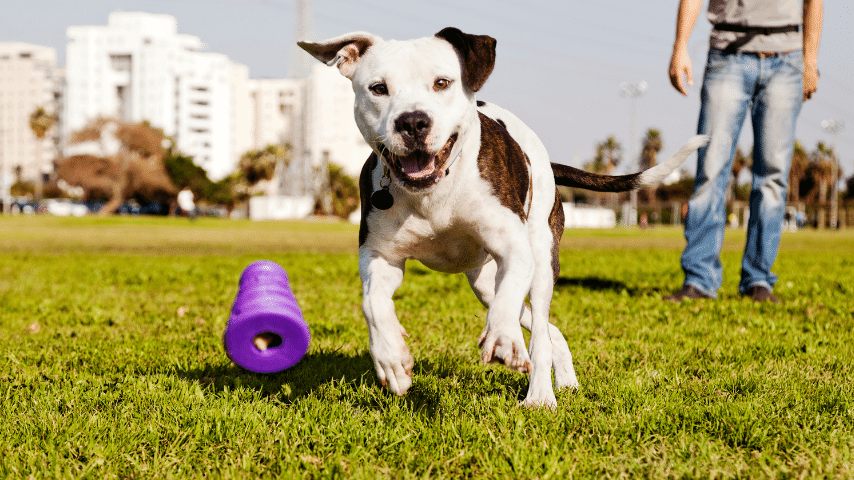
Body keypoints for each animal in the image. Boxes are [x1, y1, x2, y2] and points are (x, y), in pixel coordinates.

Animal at [300, 27, 708, 408]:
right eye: (378, 88)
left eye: (442, 82)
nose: (413, 121)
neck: (433, 191)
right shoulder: (379, 258)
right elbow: (373, 304)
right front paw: (391, 360)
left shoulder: (515, 250)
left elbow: (507, 305)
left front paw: (504, 339)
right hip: (483, 280)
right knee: (546, 328)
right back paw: (565, 380)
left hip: (542, 259)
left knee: (538, 326)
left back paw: (540, 394)